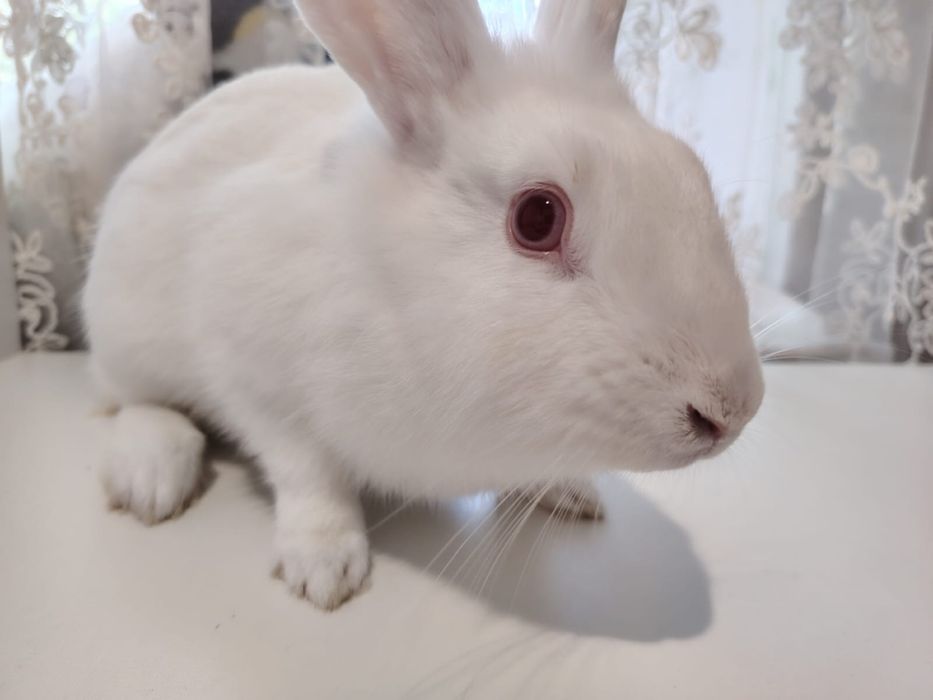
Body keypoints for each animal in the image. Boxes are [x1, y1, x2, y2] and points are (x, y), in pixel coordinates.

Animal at [82, 0, 764, 610]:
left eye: (691, 171)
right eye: (538, 217)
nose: (732, 411)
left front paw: (570, 491)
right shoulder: (252, 372)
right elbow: (308, 473)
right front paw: (326, 567)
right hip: (127, 331)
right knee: (132, 403)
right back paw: (153, 478)